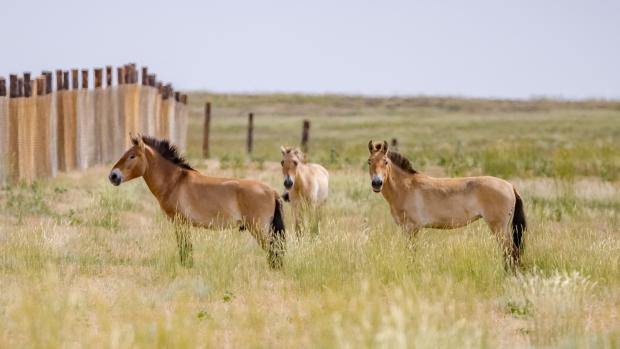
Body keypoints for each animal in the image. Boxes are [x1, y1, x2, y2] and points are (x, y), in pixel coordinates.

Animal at [108, 135, 286, 268]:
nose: (113, 176)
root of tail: (272, 191)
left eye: (132, 156)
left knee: (273, 252)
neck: (174, 182)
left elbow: (185, 247)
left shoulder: (180, 222)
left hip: (259, 230)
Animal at [368, 140, 528, 268]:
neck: (406, 187)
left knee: (510, 252)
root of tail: (510, 186)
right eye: (369, 161)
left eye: (385, 162)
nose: (376, 183)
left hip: (499, 228)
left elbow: (412, 253)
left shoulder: (411, 229)